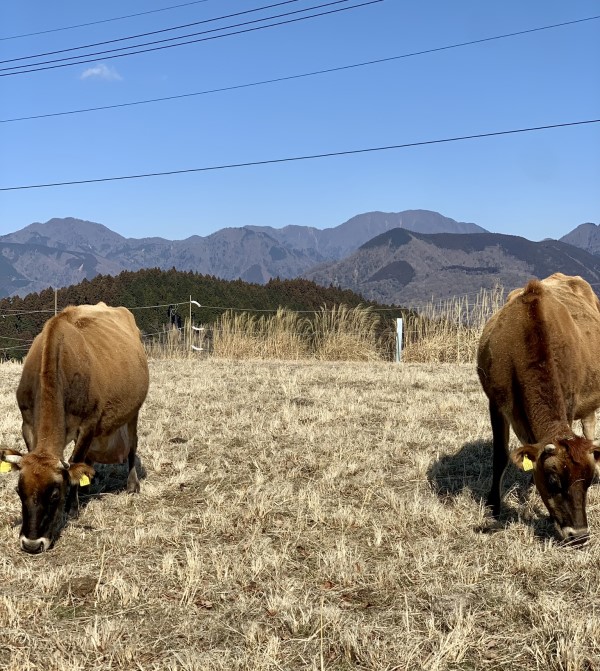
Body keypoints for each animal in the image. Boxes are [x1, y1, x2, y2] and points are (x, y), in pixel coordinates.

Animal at [0, 302, 149, 553]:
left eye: (55, 495)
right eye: (19, 491)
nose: (31, 544)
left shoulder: (88, 424)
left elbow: (75, 461)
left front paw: (72, 507)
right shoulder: (27, 423)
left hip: (133, 412)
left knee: (132, 445)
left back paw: (132, 484)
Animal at [477, 273, 600, 546]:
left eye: (588, 482)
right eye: (554, 481)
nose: (579, 536)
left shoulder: (570, 399)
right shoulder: (495, 403)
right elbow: (500, 456)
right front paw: (493, 506)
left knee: (589, 427)